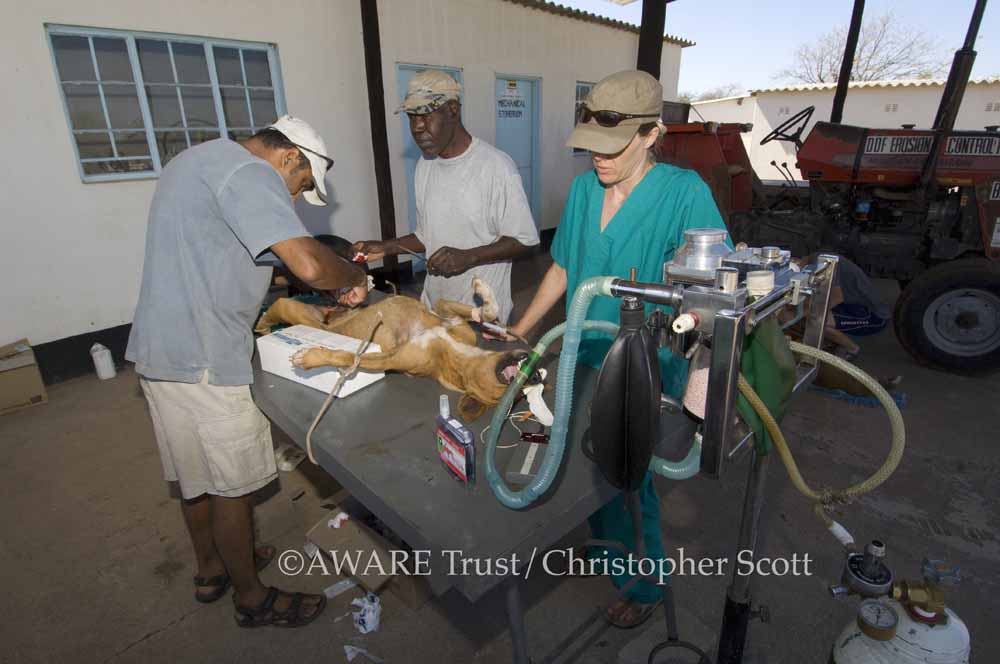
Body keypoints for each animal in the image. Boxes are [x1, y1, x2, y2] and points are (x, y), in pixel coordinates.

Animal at [258, 278, 540, 418]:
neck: (456, 356)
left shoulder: (388, 359)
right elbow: (485, 312)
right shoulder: (447, 313)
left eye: (514, 397)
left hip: (303, 315)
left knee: (281, 305)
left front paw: (310, 357)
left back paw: (262, 324)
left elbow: (346, 356)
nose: (536, 374)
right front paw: (482, 290)